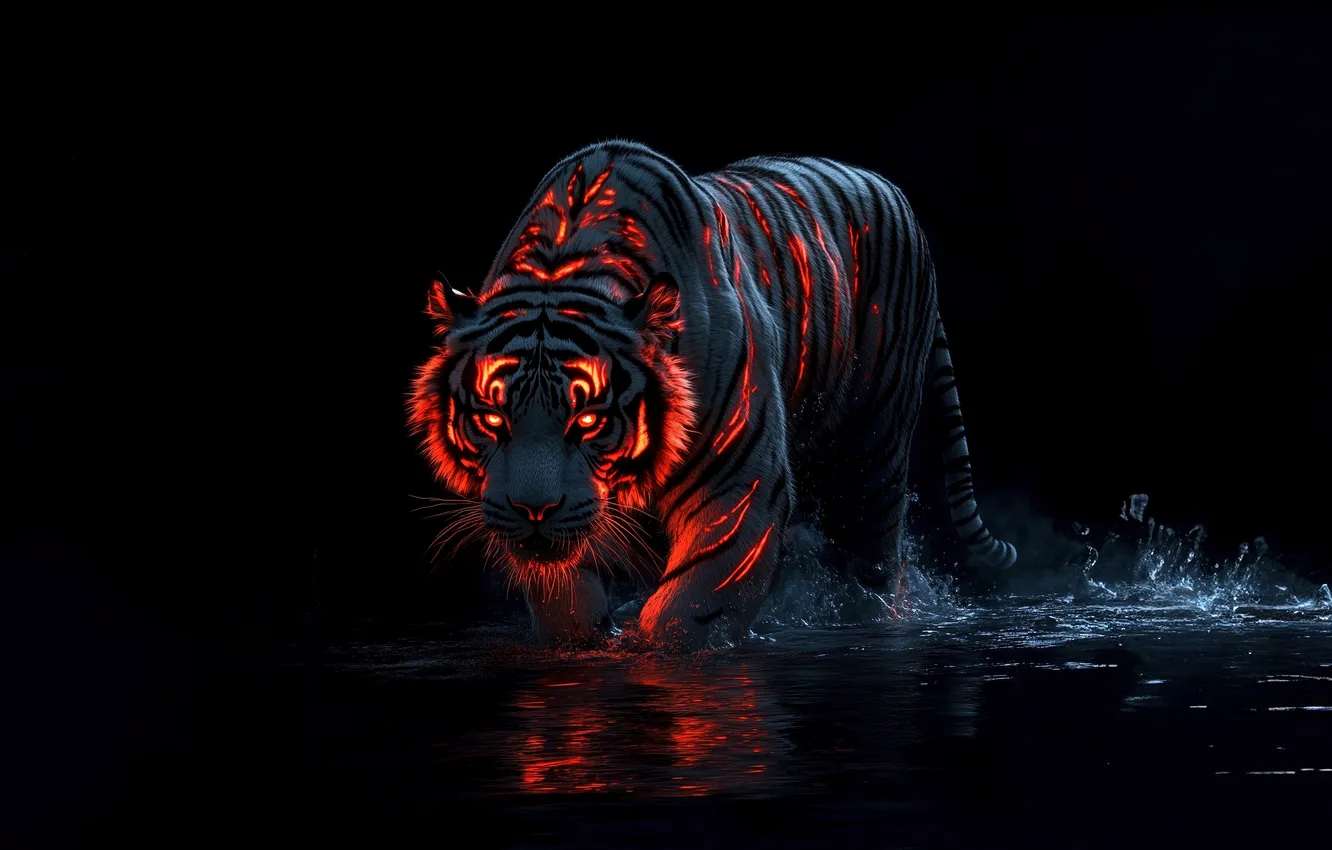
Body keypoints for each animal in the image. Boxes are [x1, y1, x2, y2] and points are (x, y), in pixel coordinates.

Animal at [408, 140, 1017, 651]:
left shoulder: (740, 482)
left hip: (873, 450)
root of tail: (894, 192)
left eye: (587, 421)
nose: (533, 510)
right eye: (492, 419)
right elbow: (564, 599)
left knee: (871, 561)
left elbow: (694, 607)